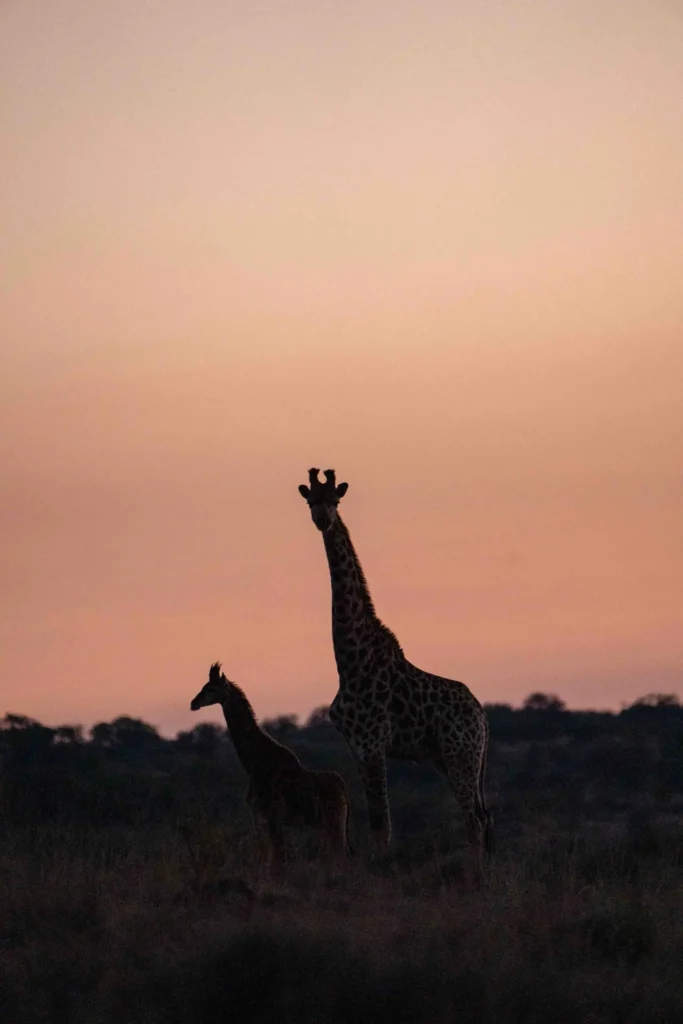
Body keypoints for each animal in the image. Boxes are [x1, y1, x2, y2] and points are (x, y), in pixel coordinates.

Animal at [190, 662, 352, 867]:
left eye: (210, 689)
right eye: (203, 687)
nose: (193, 703)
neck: (254, 763)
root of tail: (343, 788)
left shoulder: (272, 816)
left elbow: (277, 861)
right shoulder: (259, 818)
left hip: (334, 822)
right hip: (326, 825)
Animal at [298, 468, 493, 865]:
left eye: (335, 500)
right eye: (311, 500)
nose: (323, 520)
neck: (349, 659)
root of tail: (482, 717)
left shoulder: (373, 742)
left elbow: (381, 825)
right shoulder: (356, 746)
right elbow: (376, 822)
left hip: (461, 755)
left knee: (475, 819)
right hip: (445, 758)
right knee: (480, 816)